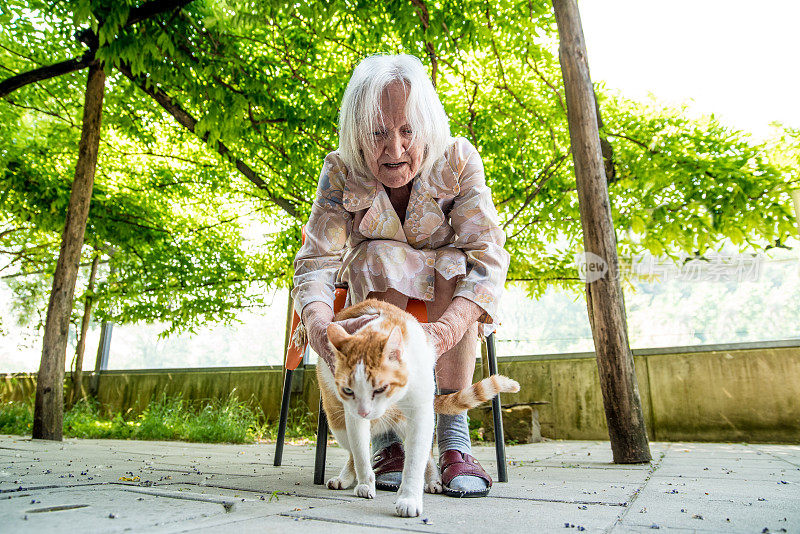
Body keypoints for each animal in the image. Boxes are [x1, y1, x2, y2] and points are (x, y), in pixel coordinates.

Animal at [318, 300, 520, 516]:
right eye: (348, 390)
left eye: (381, 388)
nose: (364, 412)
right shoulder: (352, 417)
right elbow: (361, 454)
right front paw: (366, 483)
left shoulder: (420, 412)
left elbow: (415, 461)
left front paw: (409, 498)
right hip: (338, 422)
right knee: (352, 452)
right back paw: (346, 478)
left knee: (427, 455)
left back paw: (433, 480)